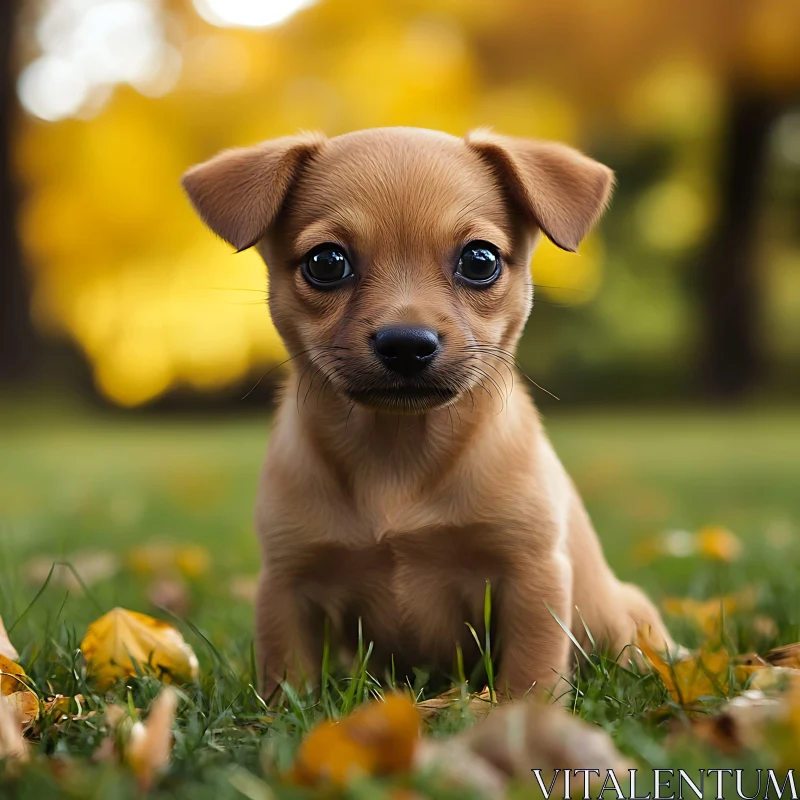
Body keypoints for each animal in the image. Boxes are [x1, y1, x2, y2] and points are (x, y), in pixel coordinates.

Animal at [183, 126, 676, 700]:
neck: (397, 451)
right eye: (326, 263)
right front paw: (285, 714)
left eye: (480, 261)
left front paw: (521, 712)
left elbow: (530, 669)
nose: (405, 343)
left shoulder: (530, 572)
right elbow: (289, 677)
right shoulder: (288, 581)